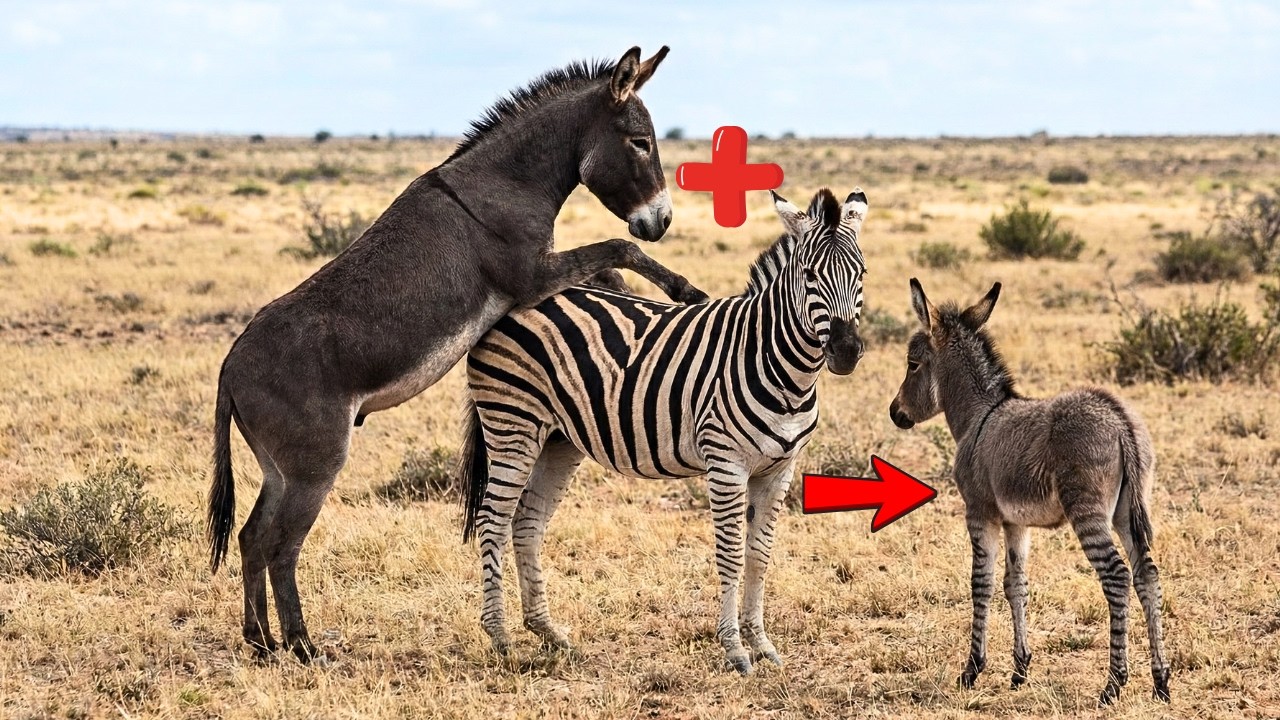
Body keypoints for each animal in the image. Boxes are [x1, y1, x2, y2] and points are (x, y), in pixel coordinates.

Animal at [460, 187, 869, 674]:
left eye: (861, 274)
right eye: (809, 276)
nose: (846, 352)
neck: (782, 368)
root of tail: (506, 306)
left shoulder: (779, 469)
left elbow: (759, 555)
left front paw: (762, 644)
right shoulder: (726, 463)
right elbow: (731, 553)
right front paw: (734, 649)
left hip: (558, 439)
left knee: (527, 520)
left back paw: (549, 633)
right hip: (512, 422)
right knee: (492, 519)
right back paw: (500, 637)